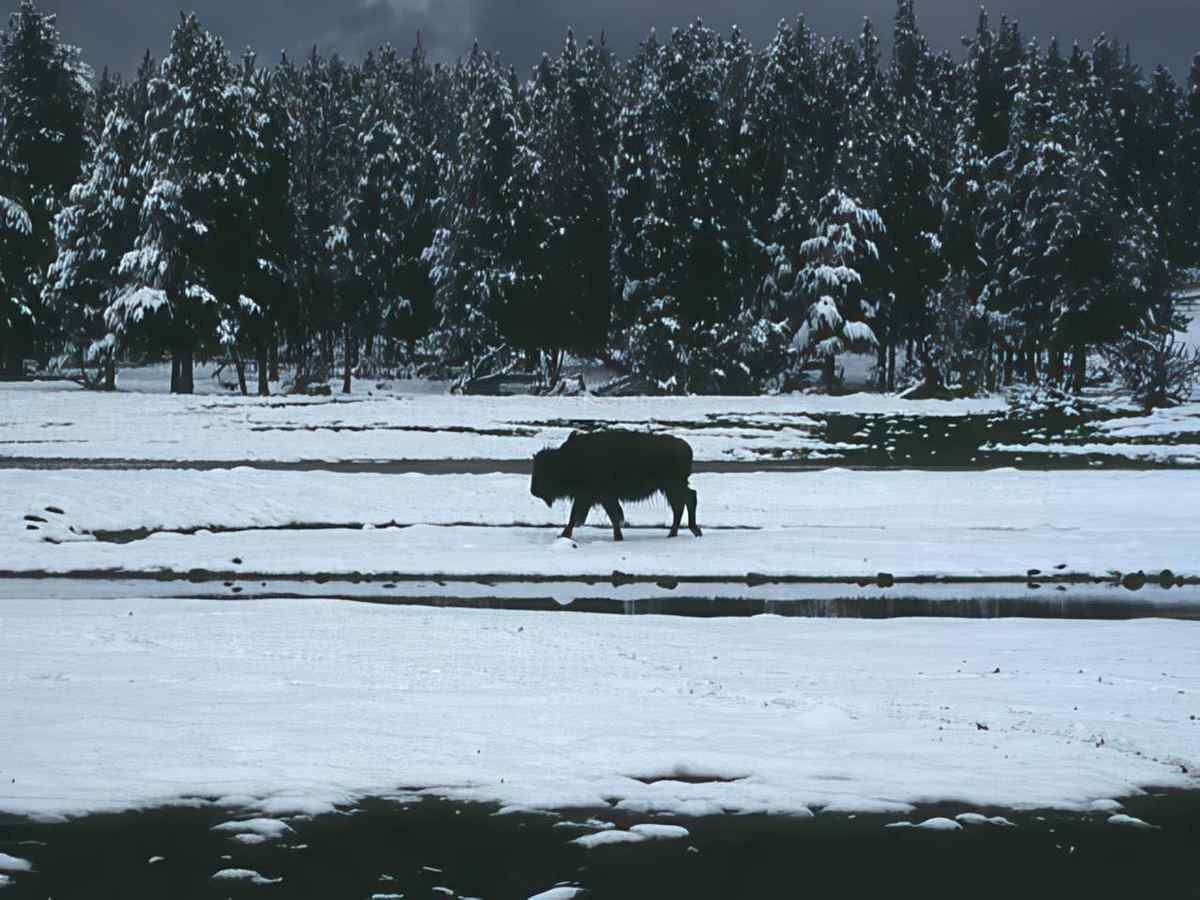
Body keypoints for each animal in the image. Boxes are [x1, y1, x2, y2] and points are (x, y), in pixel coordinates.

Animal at [530, 430, 702, 541]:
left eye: (546, 471)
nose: (533, 491)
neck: (567, 460)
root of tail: (685, 447)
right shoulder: (590, 498)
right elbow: (585, 516)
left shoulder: (596, 497)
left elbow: (607, 516)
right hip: (670, 488)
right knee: (683, 503)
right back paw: (676, 533)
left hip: (673, 486)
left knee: (687, 499)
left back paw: (689, 531)